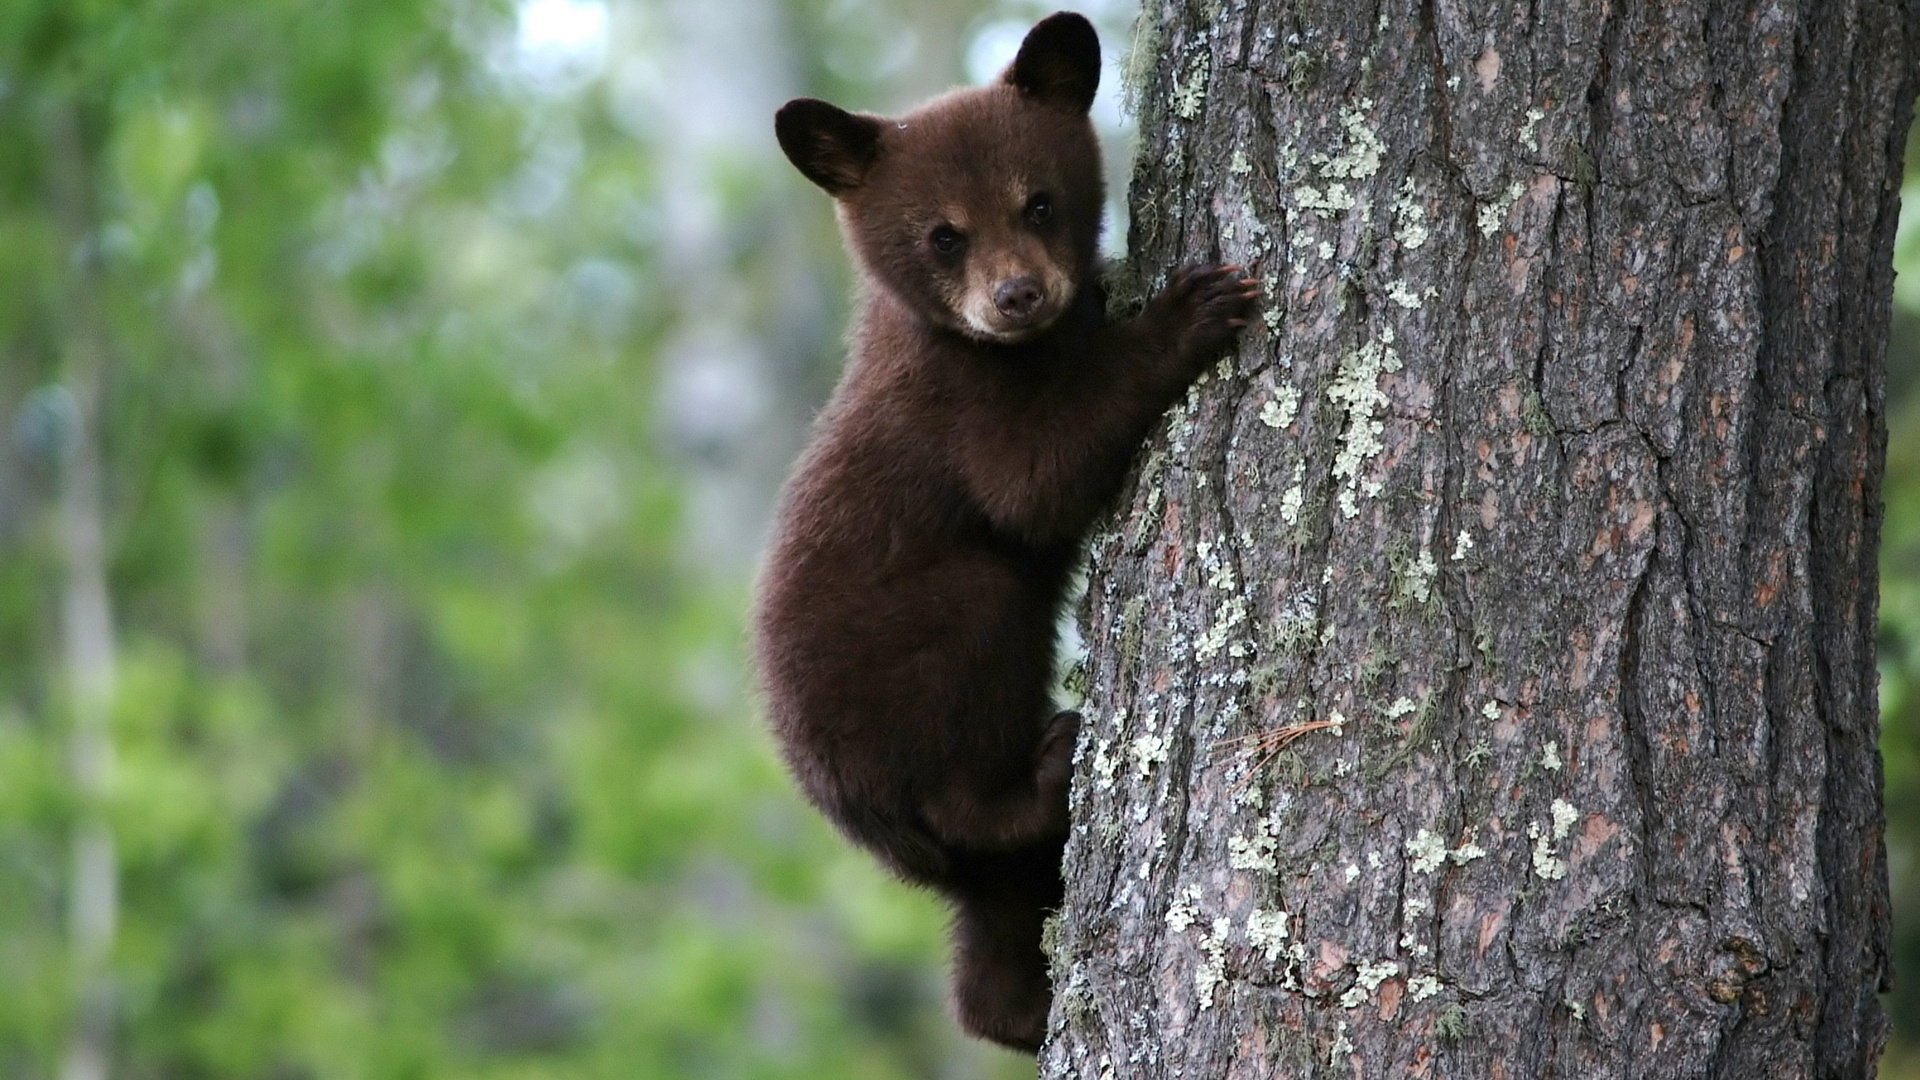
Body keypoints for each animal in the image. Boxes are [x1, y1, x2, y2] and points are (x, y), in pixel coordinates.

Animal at [752, 11, 1258, 1054]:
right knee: (970, 734)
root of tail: (854, 816)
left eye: (1040, 203)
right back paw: (1047, 763)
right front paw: (1188, 310)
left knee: (992, 927)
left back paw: (1018, 1010)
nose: (1017, 295)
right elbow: (1036, 481)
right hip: (919, 663)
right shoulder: (954, 407)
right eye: (943, 235)